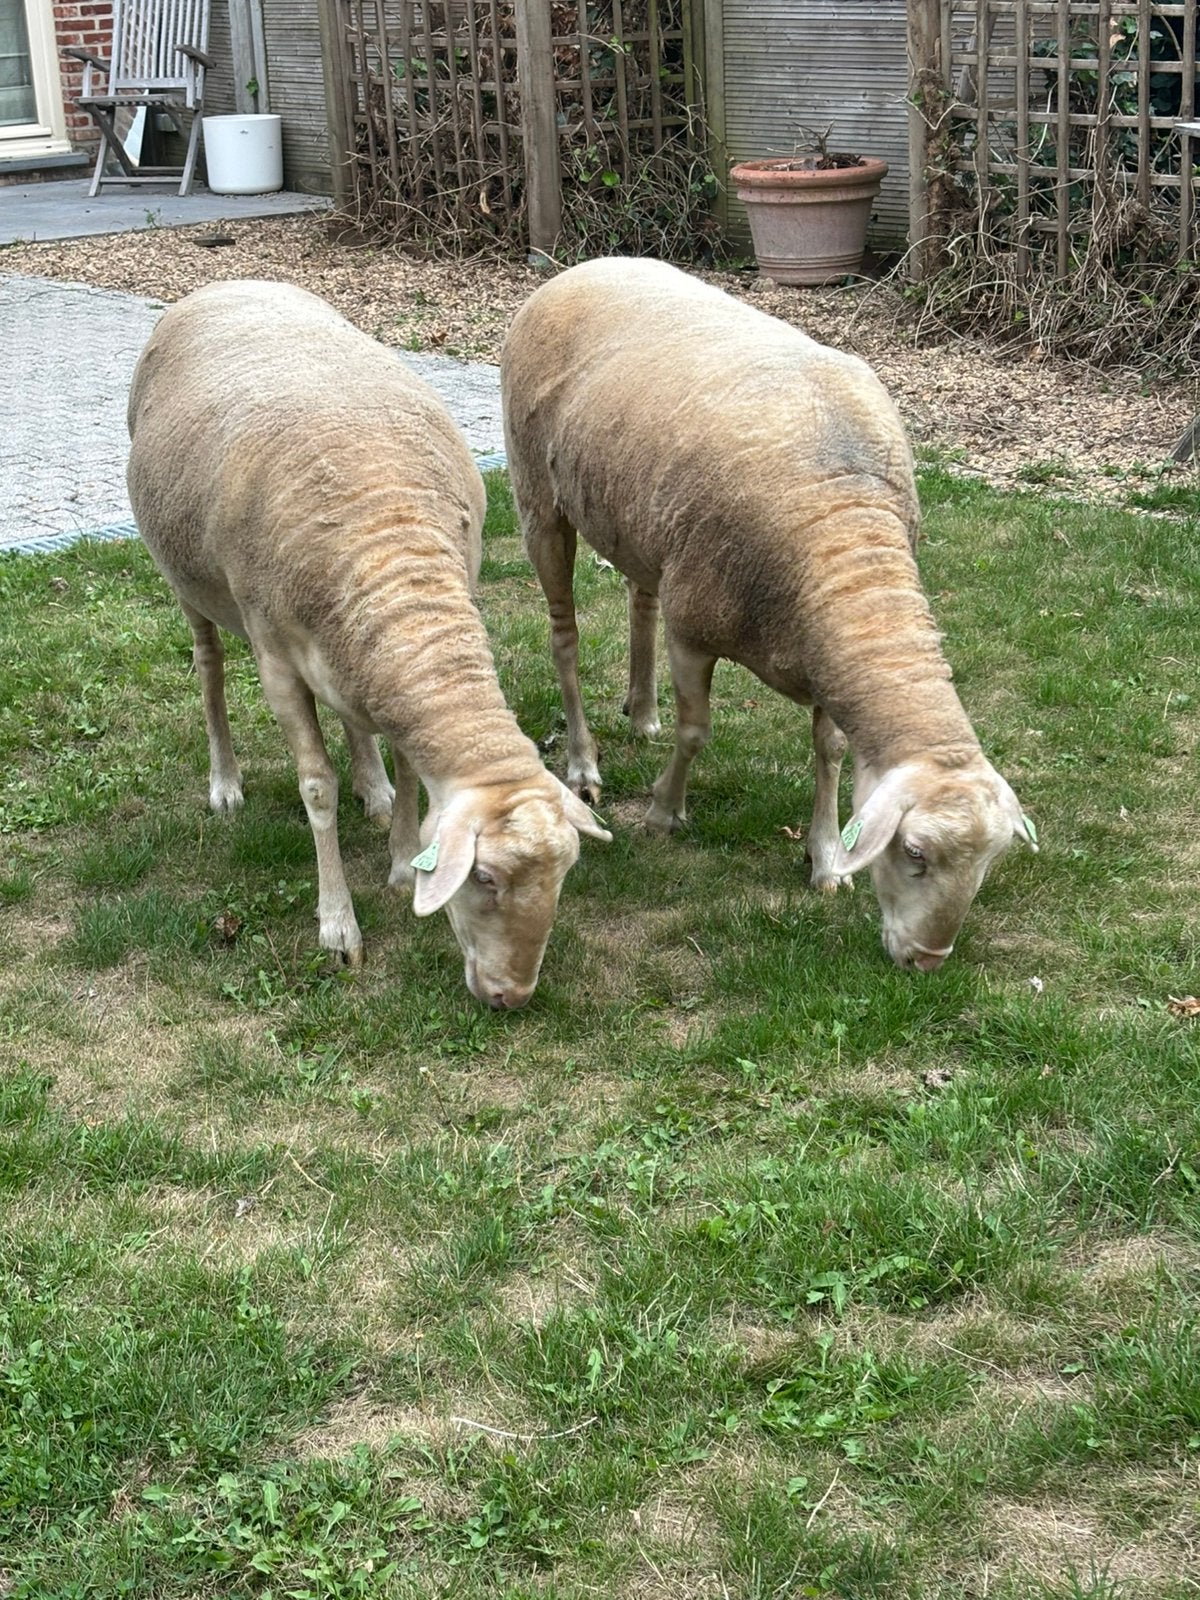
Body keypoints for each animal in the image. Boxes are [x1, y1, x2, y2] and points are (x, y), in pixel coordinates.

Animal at [127, 279, 609, 1009]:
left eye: (566, 875)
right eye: (485, 879)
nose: (513, 998)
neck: (393, 546)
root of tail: (230, 283)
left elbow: (408, 763)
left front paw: (404, 860)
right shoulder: (276, 663)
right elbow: (316, 787)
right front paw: (338, 927)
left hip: (346, 645)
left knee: (354, 709)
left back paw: (372, 787)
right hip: (187, 582)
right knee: (208, 668)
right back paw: (226, 783)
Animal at [500, 258, 1035, 972]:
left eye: (990, 861)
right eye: (915, 852)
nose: (926, 960)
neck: (843, 545)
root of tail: (578, 268)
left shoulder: (821, 655)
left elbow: (830, 751)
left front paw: (827, 858)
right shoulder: (694, 630)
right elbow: (697, 731)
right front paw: (665, 814)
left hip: (640, 522)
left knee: (642, 598)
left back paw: (642, 713)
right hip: (539, 496)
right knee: (565, 637)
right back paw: (585, 766)